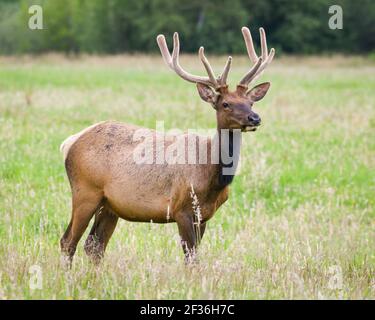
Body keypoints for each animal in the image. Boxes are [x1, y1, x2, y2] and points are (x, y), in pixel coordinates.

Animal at [59, 26, 276, 262]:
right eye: (226, 104)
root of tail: (69, 142)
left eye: (251, 102)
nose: (255, 118)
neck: (212, 175)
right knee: (68, 241)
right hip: (85, 191)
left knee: (94, 245)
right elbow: (191, 258)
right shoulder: (182, 208)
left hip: (109, 205)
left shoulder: (204, 216)